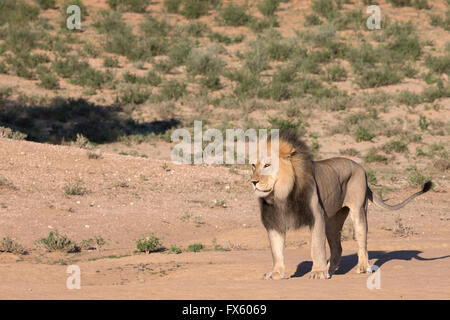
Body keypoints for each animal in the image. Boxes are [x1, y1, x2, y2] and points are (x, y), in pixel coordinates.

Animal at [251, 131, 430, 278]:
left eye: (267, 165)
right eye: (253, 165)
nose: (253, 182)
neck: (282, 194)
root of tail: (361, 167)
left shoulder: (316, 216)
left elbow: (317, 246)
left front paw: (318, 272)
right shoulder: (274, 222)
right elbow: (276, 250)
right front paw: (276, 273)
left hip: (358, 210)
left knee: (362, 241)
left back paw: (362, 268)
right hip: (332, 221)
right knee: (338, 247)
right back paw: (330, 270)